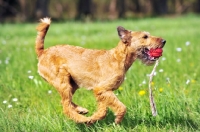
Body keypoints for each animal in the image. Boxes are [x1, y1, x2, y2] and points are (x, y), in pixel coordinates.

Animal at [34, 17, 166, 124]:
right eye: (145, 36)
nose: (164, 41)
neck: (119, 58)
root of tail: (42, 52)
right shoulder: (102, 89)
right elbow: (121, 107)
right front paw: (116, 120)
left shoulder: (102, 92)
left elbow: (103, 109)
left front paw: (95, 118)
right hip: (63, 81)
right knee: (66, 106)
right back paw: (82, 119)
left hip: (72, 84)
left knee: (66, 102)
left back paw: (81, 111)